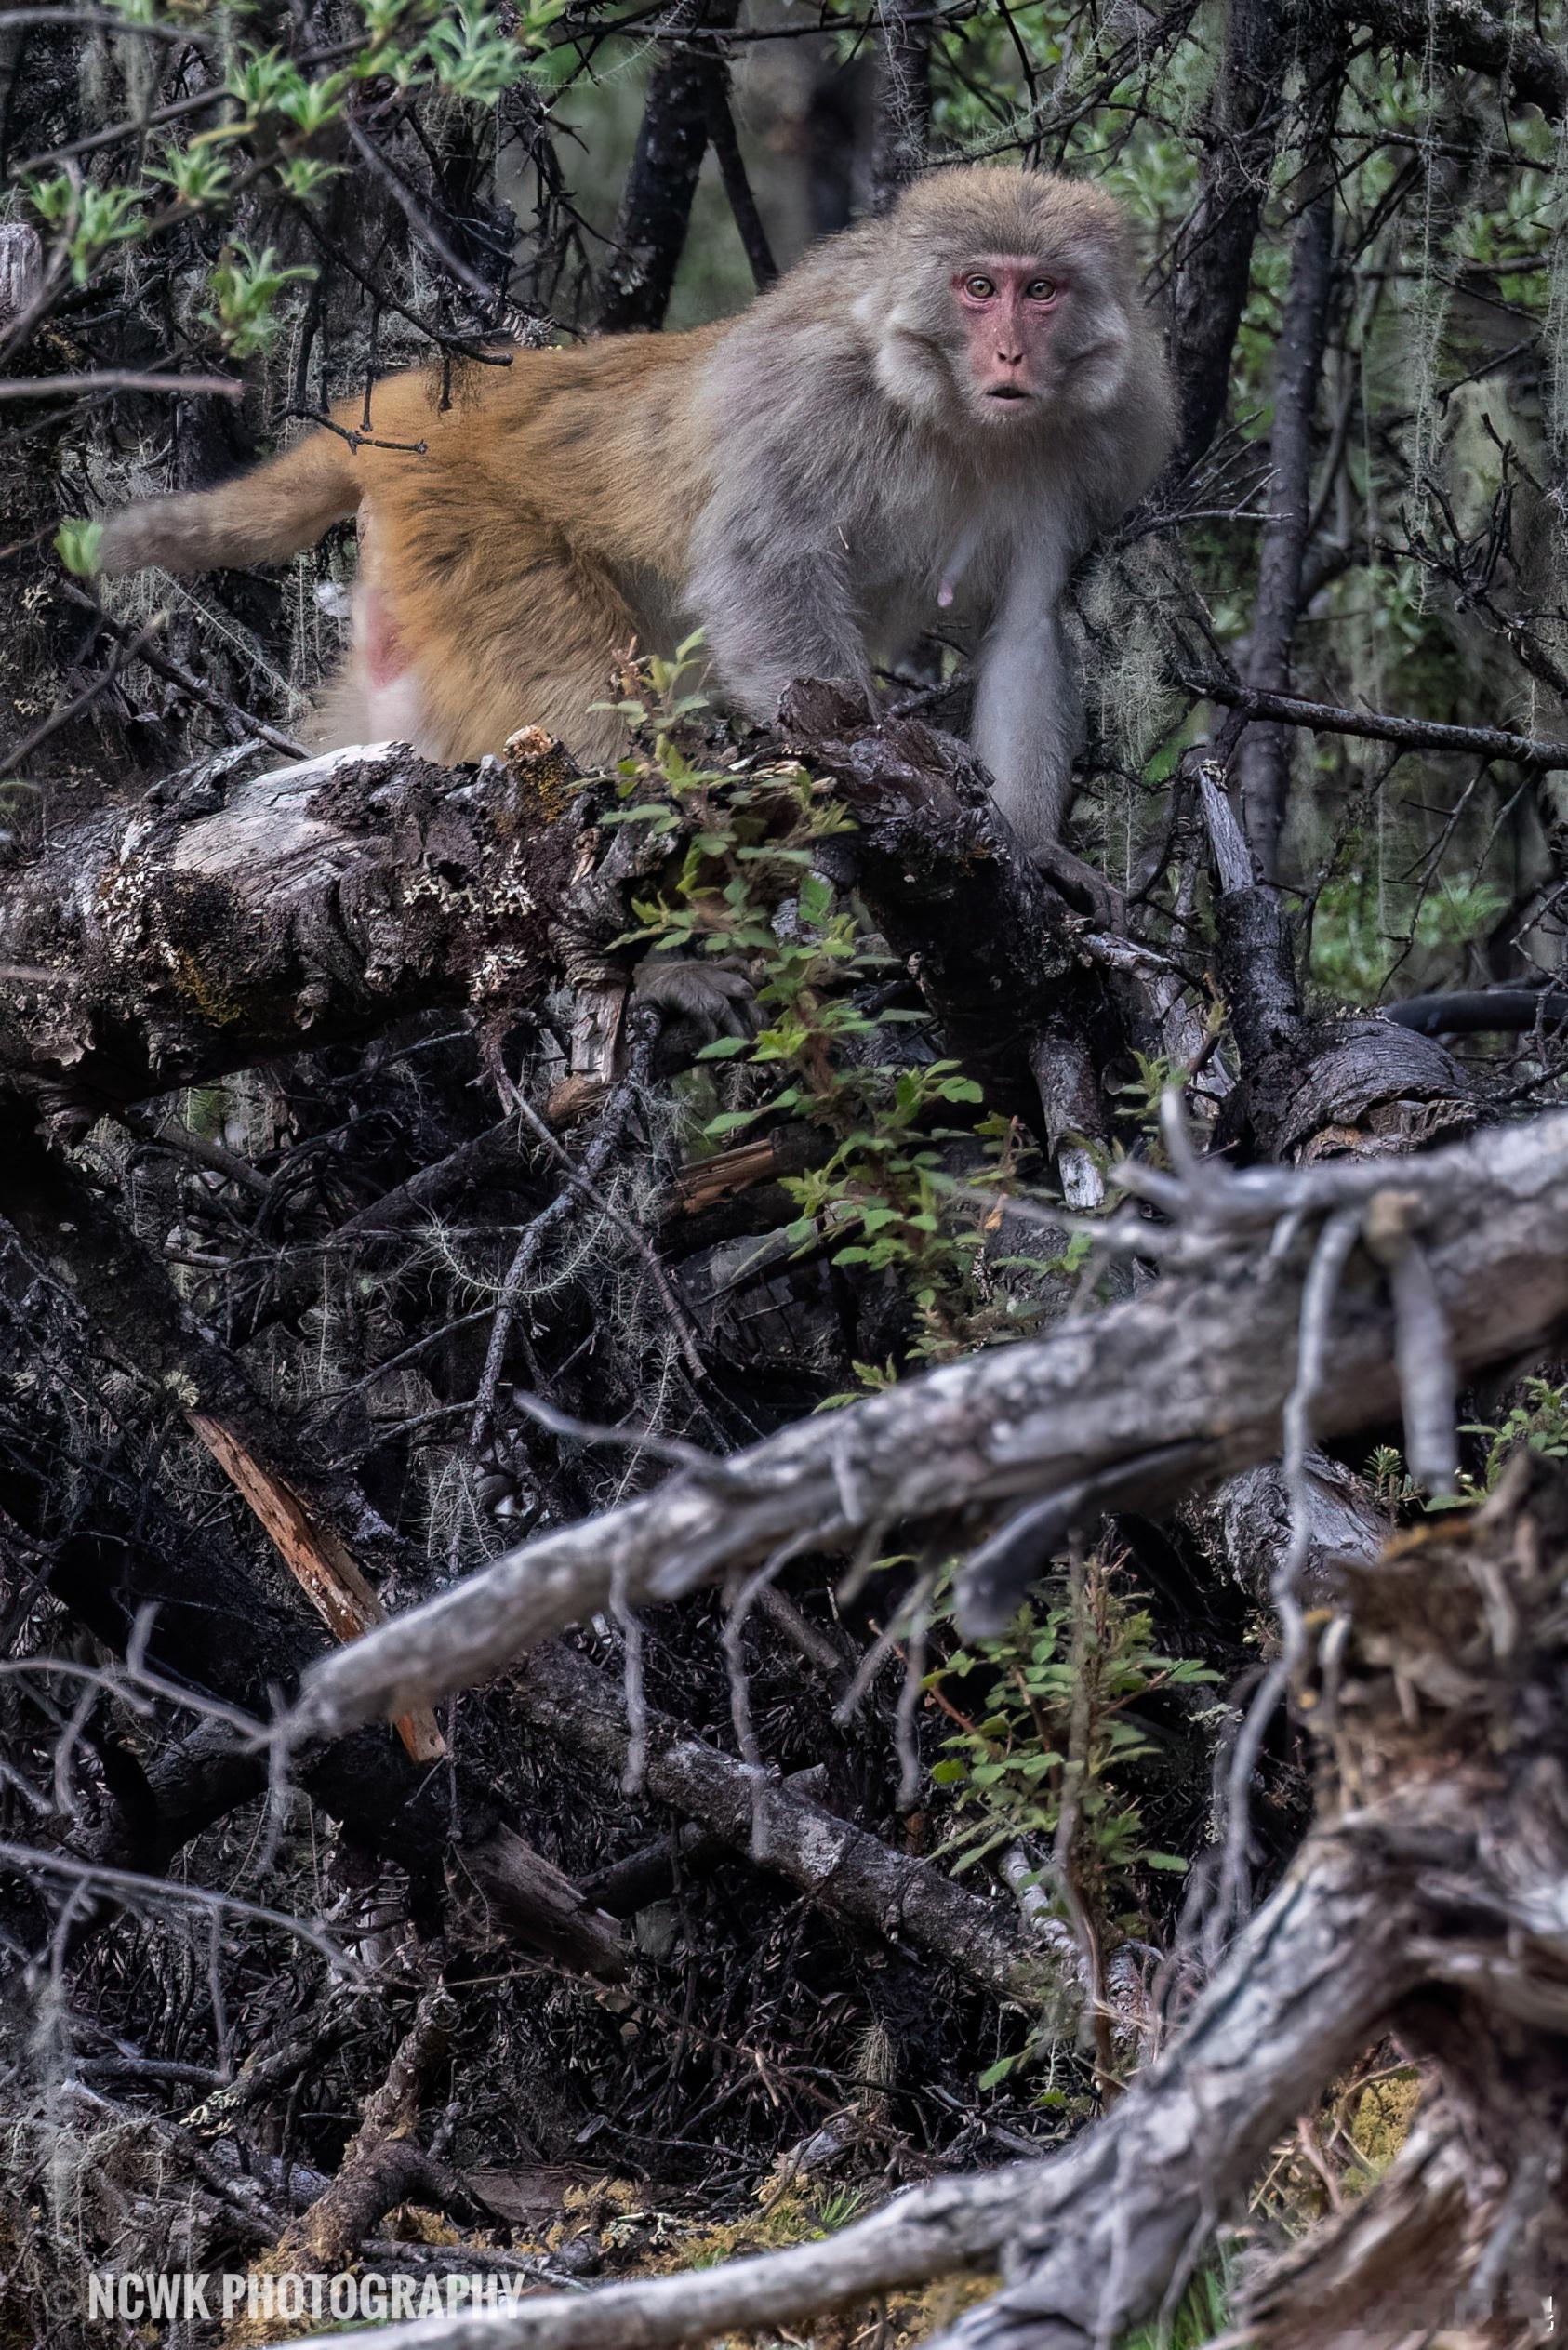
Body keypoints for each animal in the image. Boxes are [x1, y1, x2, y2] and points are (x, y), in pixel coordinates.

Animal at [98, 167, 1170, 864]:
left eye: (1041, 290)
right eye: (979, 287)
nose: (1010, 356)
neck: (952, 412)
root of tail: (428, 401)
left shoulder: (1098, 443)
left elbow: (1023, 629)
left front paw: (1036, 855)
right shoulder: (819, 399)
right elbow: (758, 569)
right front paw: (889, 766)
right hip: (474, 530)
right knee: (585, 711)